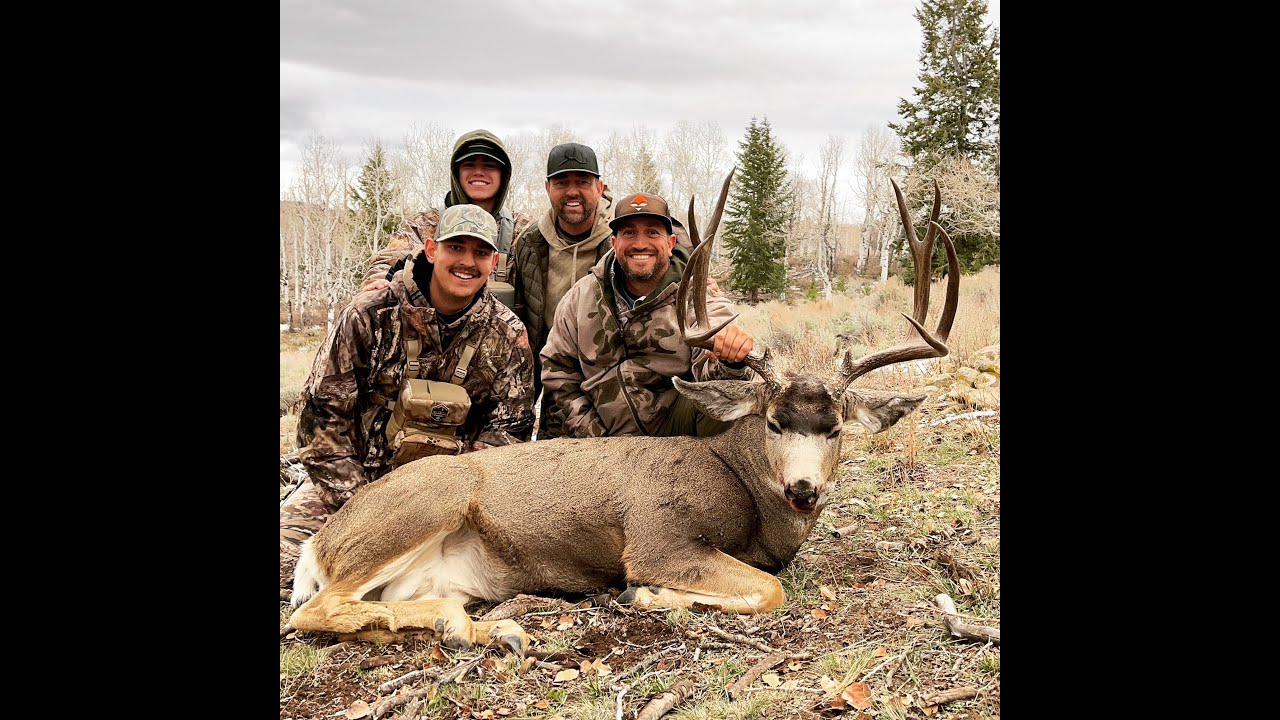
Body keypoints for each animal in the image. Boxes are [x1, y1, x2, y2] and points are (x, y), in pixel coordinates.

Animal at [288, 173, 960, 656]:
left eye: (837, 428)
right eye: (773, 422)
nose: (802, 489)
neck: (740, 486)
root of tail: (319, 545)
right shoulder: (658, 537)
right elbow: (766, 588)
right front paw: (649, 596)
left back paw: (484, 628)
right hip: (429, 501)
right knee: (310, 610)